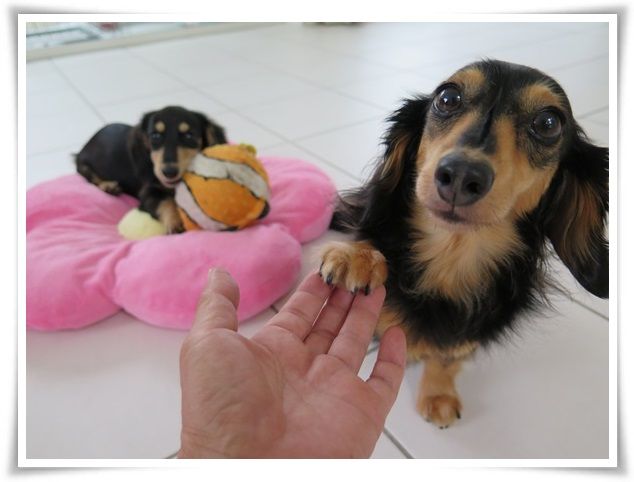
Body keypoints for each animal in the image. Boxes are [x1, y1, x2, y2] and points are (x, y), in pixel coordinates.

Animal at [75, 106, 227, 232]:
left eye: (189, 135)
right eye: (155, 136)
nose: (169, 173)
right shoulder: (148, 192)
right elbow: (166, 201)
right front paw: (175, 221)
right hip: (82, 165)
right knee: (90, 177)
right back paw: (108, 186)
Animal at [319, 59, 609, 429]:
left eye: (548, 123)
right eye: (448, 98)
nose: (460, 175)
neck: (452, 255)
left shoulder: (473, 331)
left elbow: (446, 355)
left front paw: (438, 394)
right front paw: (360, 257)